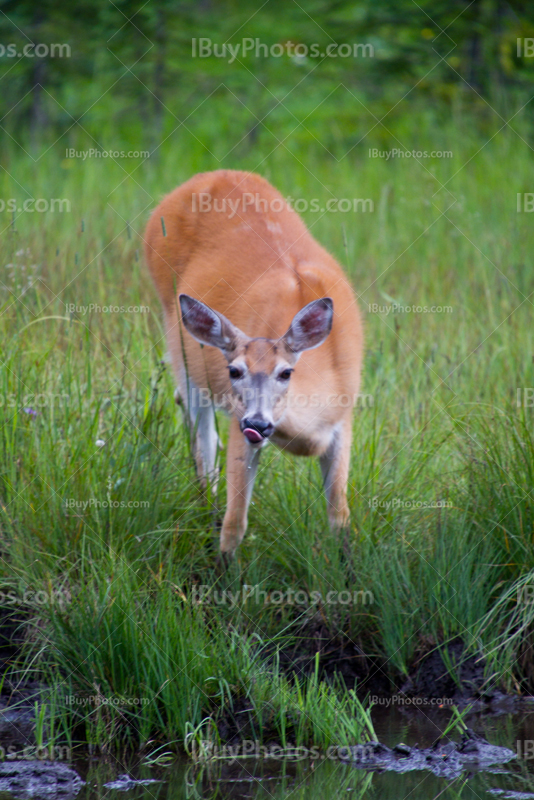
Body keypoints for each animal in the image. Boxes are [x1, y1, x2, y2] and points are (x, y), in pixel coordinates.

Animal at [146, 169, 364, 556]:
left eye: (286, 372)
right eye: (234, 370)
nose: (258, 423)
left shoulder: (345, 417)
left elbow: (340, 516)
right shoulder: (238, 422)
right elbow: (235, 520)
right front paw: (223, 566)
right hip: (181, 350)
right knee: (203, 448)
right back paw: (207, 518)